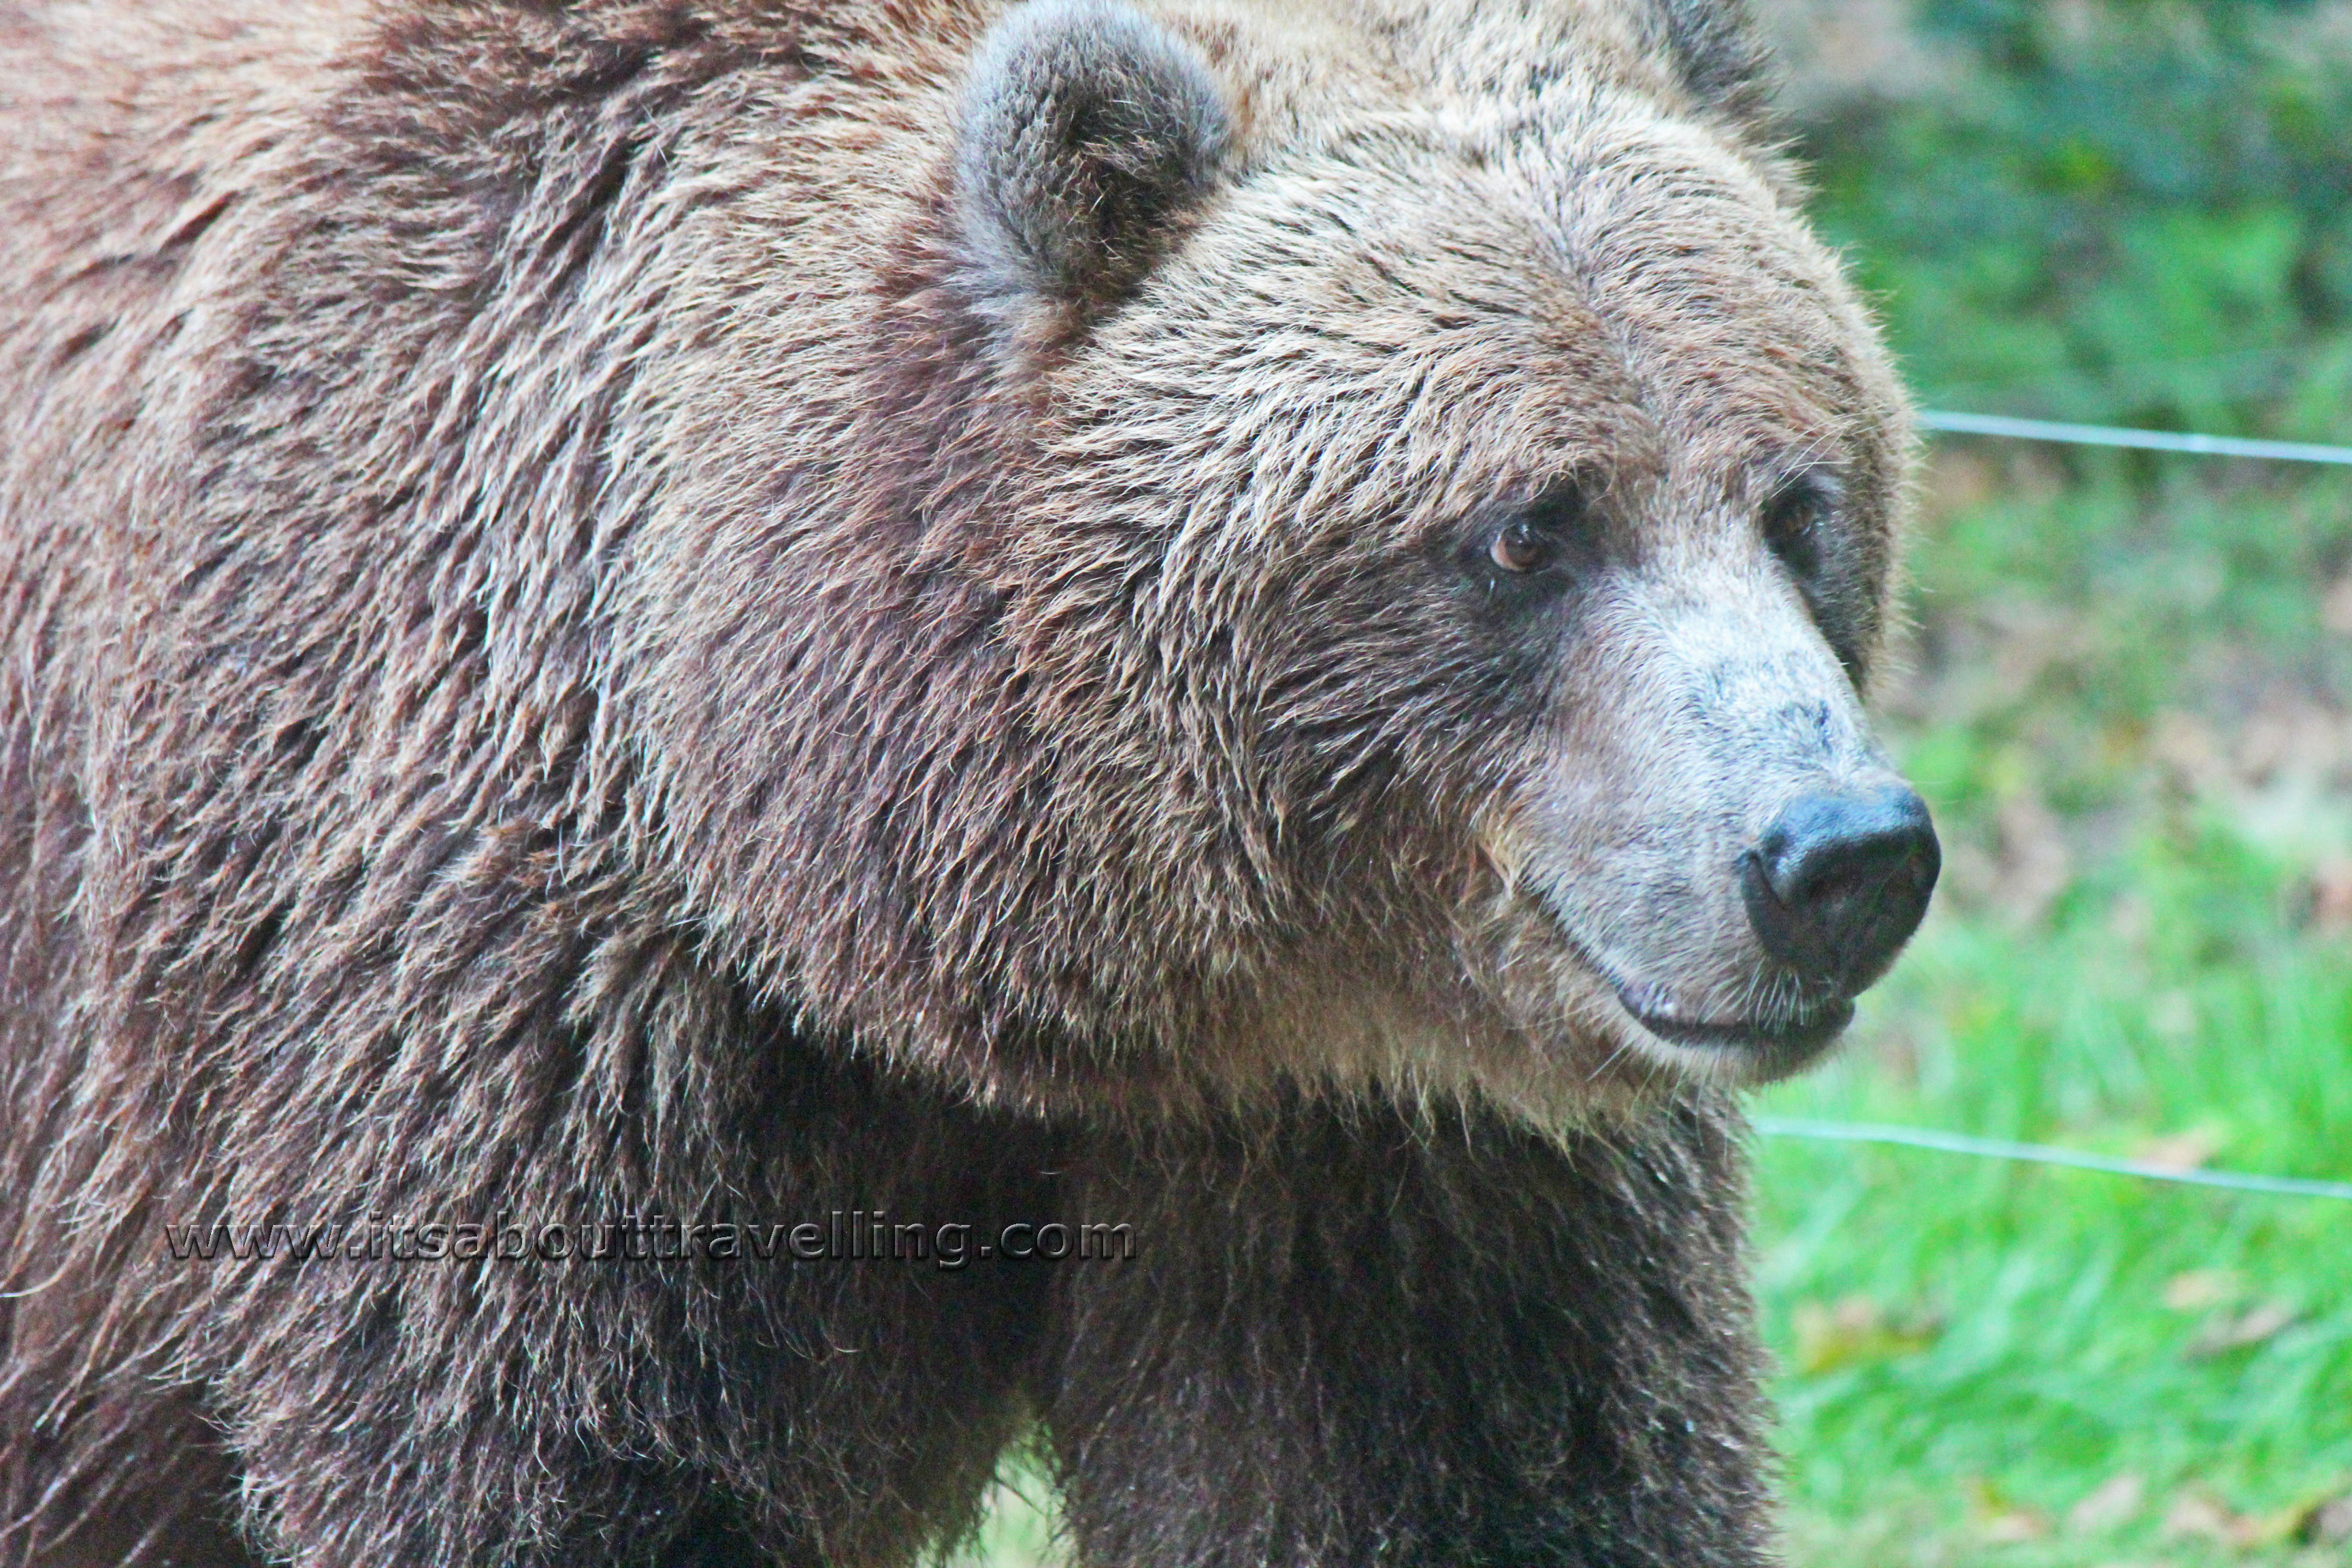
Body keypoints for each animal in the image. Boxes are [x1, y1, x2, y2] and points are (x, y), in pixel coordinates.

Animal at [0, 0, 1940, 1564]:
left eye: (1796, 502)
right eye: (1528, 529)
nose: (1837, 852)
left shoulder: (1387, 1153)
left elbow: (1462, 1477)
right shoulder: (514, 1001)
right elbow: (558, 1459)